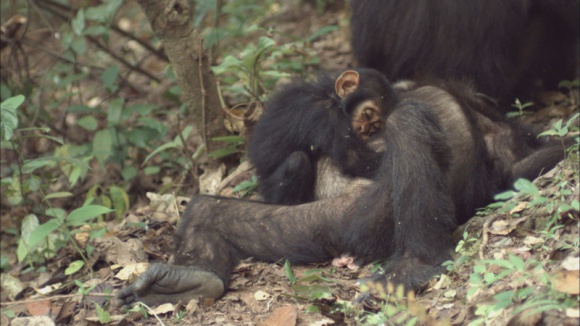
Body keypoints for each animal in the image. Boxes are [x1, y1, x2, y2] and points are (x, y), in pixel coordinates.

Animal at [115, 67, 568, 306]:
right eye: (367, 115)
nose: (371, 127)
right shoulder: (325, 116)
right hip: (330, 224)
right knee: (215, 210)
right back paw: (187, 277)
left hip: (357, 220)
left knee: (409, 125)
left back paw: (415, 265)